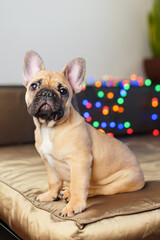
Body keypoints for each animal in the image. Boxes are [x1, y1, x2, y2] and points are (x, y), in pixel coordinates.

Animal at [22, 51, 145, 218]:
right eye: (34, 86)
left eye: (63, 91)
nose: (47, 93)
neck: (50, 127)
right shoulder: (49, 164)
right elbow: (53, 182)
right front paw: (50, 195)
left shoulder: (80, 161)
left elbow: (78, 186)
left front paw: (74, 206)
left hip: (122, 181)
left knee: (97, 189)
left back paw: (70, 194)